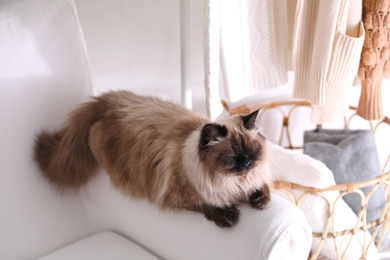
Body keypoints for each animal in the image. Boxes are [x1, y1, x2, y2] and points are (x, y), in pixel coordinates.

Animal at [34, 91, 272, 228]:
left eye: (252, 151)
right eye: (232, 156)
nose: (247, 163)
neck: (234, 183)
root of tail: (113, 99)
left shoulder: (254, 179)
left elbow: (263, 187)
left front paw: (260, 201)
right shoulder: (176, 196)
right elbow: (206, 204)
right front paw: (229, 217)